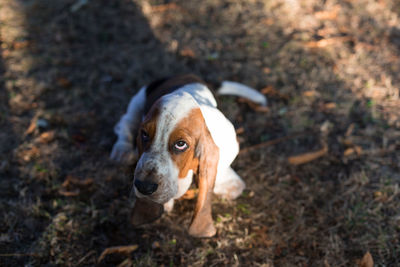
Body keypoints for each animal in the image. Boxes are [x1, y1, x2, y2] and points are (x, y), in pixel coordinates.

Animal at [110, 75, 266, 239]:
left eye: (181, 144)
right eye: (144, 134)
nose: (143, 187)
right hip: (138, 100)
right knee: (124, 123)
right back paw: (122, 151)